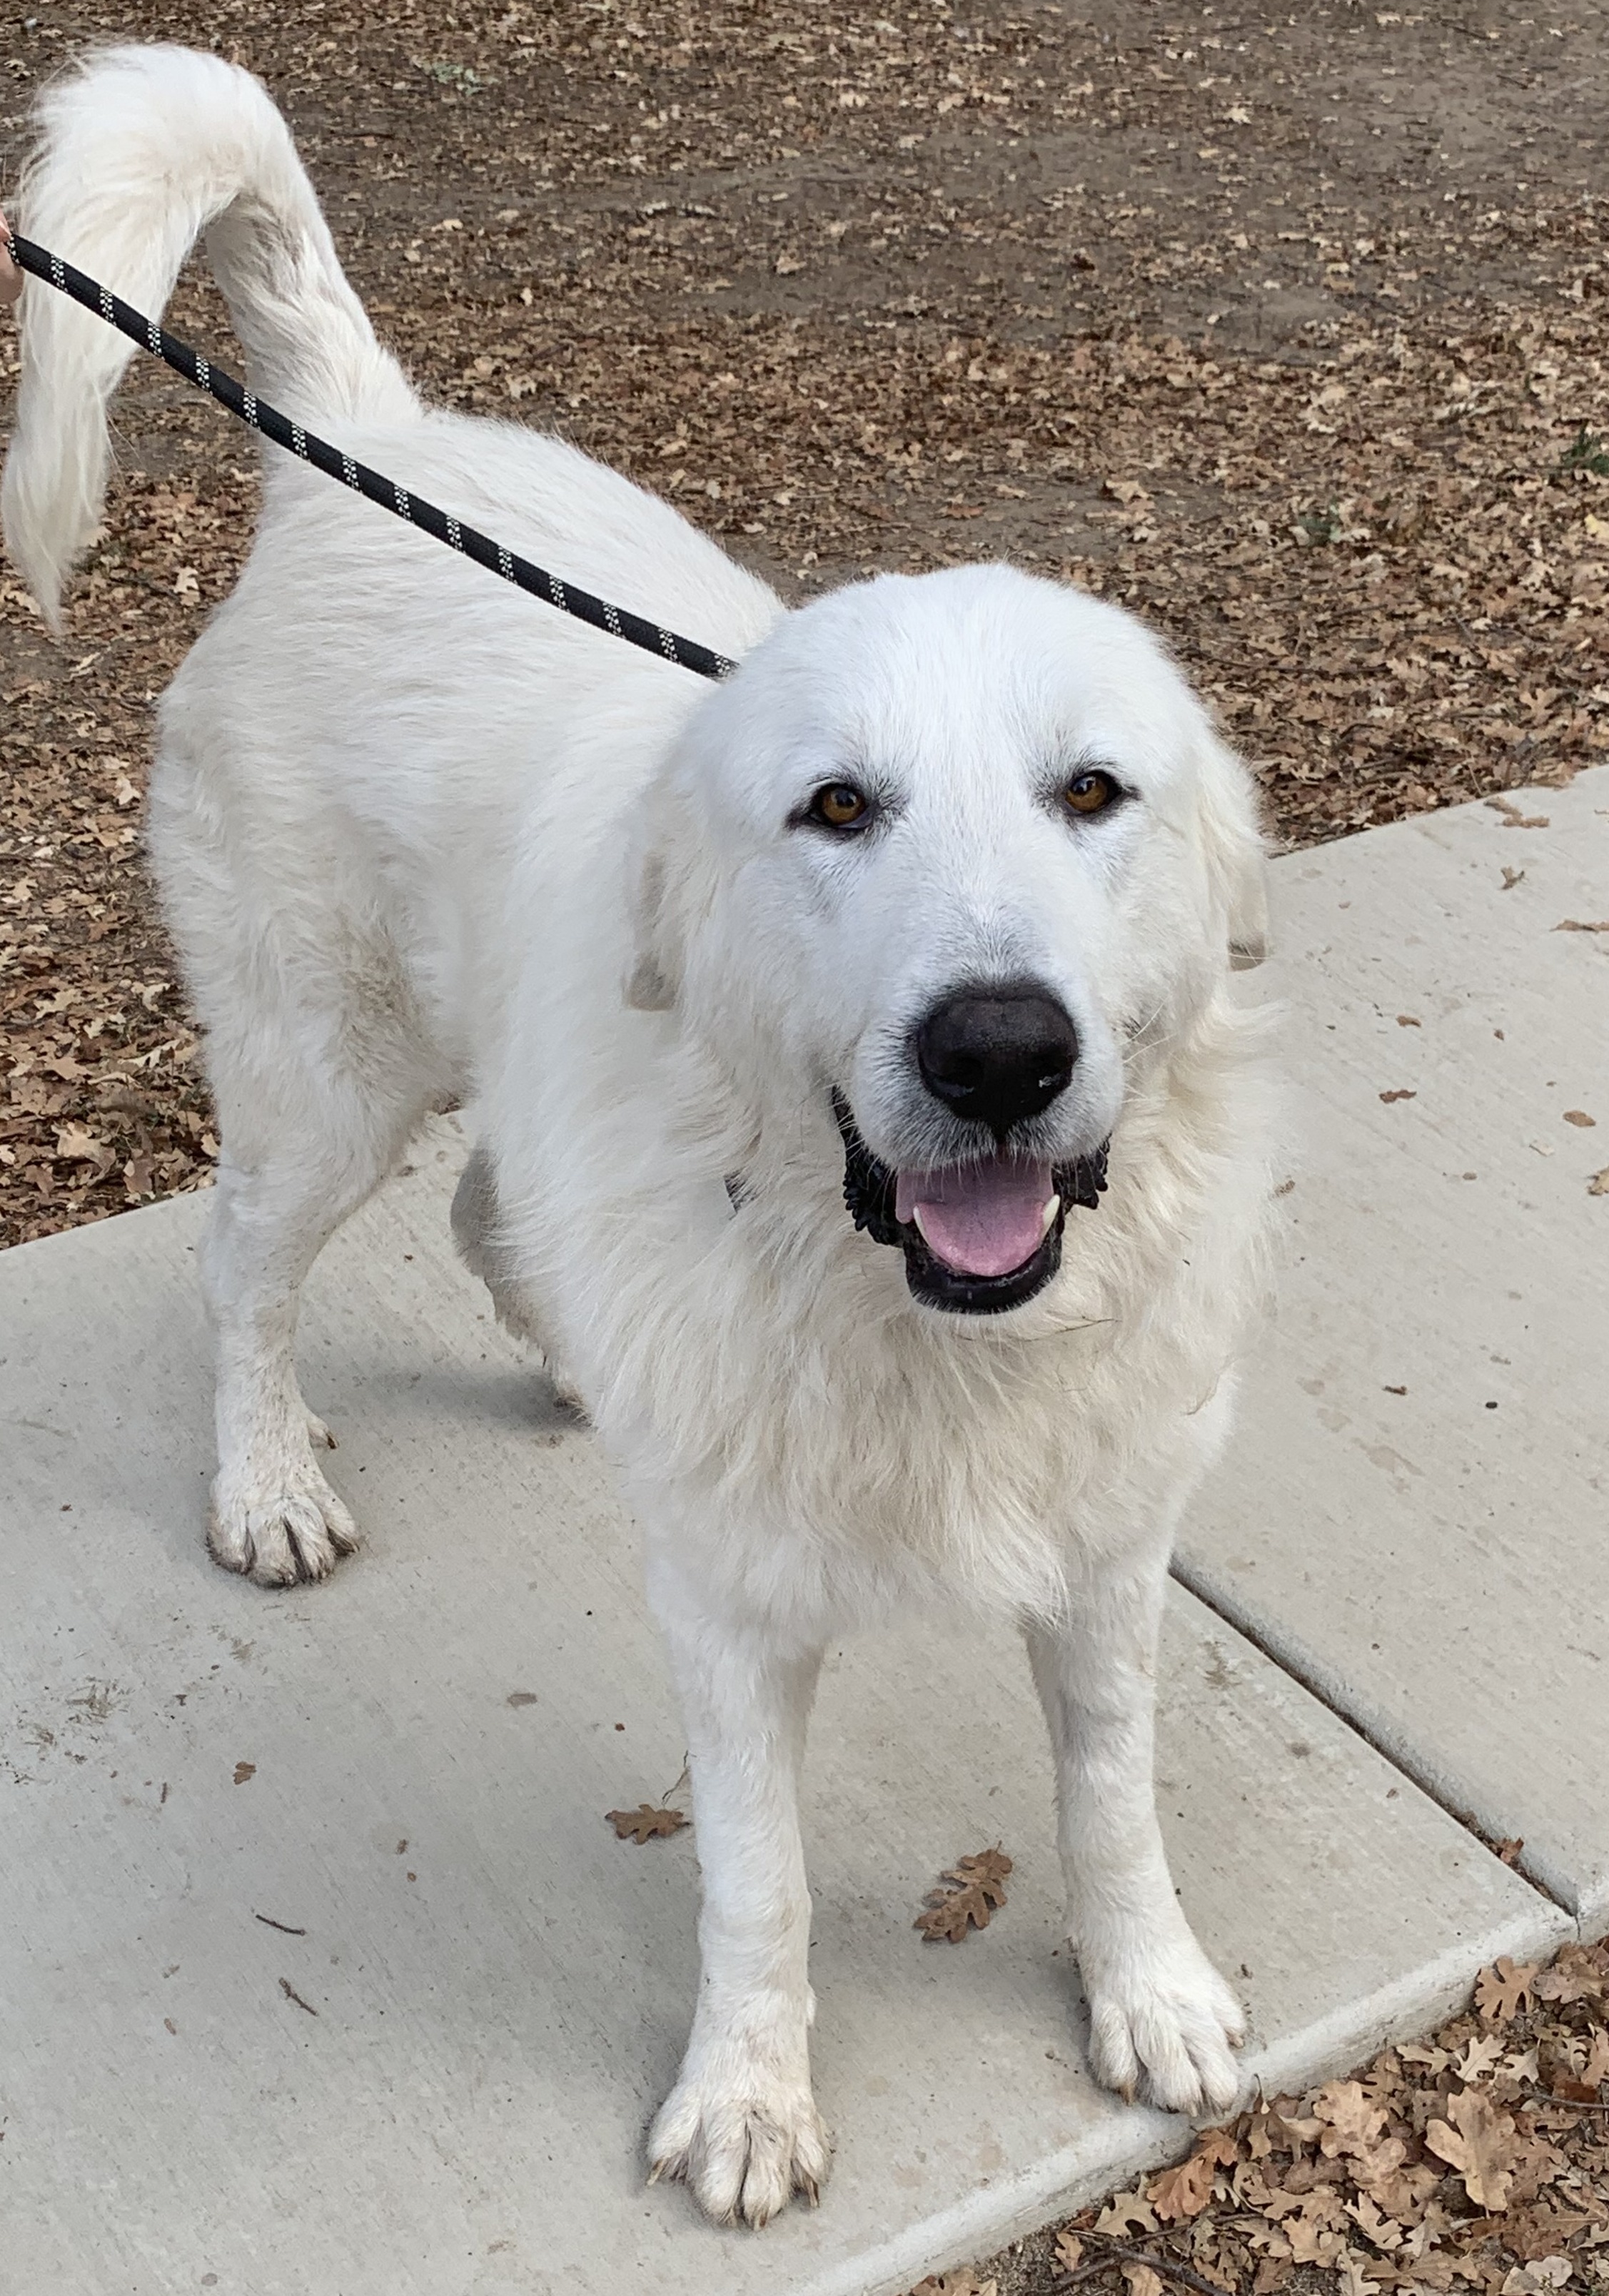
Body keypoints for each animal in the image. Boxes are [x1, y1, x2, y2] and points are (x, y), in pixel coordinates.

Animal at [6, 44, 1276, 2231]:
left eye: (1093, 791)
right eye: (837, 807)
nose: (1000, 1053)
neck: (900, 1315)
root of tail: (360, 438)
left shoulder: (1109, 1552)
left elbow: (1110, 1799)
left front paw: (1149, 1992)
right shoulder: (733, 1617)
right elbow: (756, 1882)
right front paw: (749, 2096)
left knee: (492, 1215)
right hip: (331, 1078)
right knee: (243, 1263)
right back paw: (266, 1482)